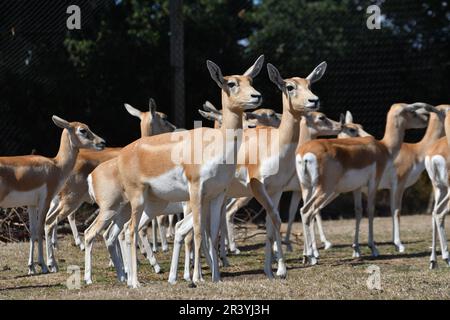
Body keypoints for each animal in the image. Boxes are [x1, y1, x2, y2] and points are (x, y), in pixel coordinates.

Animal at [0, 116, 105, 274]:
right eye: (82, 130)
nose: (102, 142)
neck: (56, 166)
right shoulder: (46, 200)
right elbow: (41, 228)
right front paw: (45, 265)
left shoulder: (31, 204)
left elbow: (32, 232)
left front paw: (31, 267)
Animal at [43, 99, 174, 272]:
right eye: (164, 117)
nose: (173, 129)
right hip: (71, 201)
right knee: (53, 221)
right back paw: (53, 262)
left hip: (60, 200)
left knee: (47, 219)